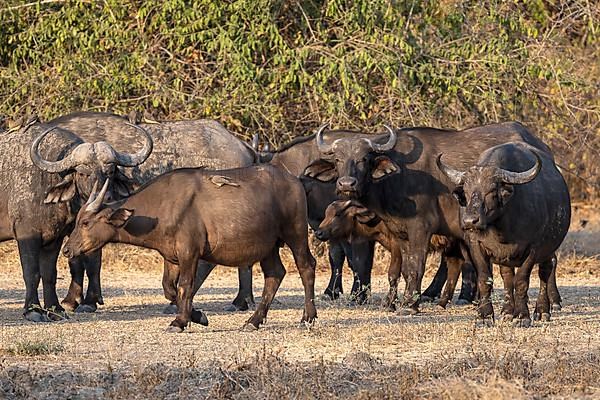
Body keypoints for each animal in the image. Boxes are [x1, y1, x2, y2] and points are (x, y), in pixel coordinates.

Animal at [41, 111, 258, 312]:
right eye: (82, 173)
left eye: (109, 171)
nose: (107, 197)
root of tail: (242, 146)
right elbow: (77, 260)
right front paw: (75, 299)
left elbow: (89, 260)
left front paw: (85, 301)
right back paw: (242, 300)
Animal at [63, 164, 318, 332]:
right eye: (77, 221)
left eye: (86, 223)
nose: (66, 250)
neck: (162, 207)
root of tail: (294, 180)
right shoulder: (171, 257)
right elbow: (169, 289)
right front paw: (198, 315)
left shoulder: (190, 253)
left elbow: (185, 286)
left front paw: (180, 322)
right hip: (268, 247)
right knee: (275, 274)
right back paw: (253, 321)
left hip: (295, 234)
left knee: (307, 267)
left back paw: (308, 316)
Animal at [304, 120, 564, 314]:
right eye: (338, 159)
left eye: (364, 159)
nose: (346, 184)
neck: (396, 178)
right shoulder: (400, 234)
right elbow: (403, 269)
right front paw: (401, 301)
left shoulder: (421, 228)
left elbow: (416, 266)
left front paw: (409, 305)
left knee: (549, 260)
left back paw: (553, 302)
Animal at [436, 141, 572, 324]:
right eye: (467, 191)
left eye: (491, 191)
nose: (470, 221)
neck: (501, 229)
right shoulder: (476, 246)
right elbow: (485, 279)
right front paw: (485, 315)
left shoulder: (533, 249)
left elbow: (521, 281)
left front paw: (522, 316)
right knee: (507, 277)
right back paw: (507, 311)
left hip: (549, 248)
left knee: (546, 270)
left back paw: (542, 311)